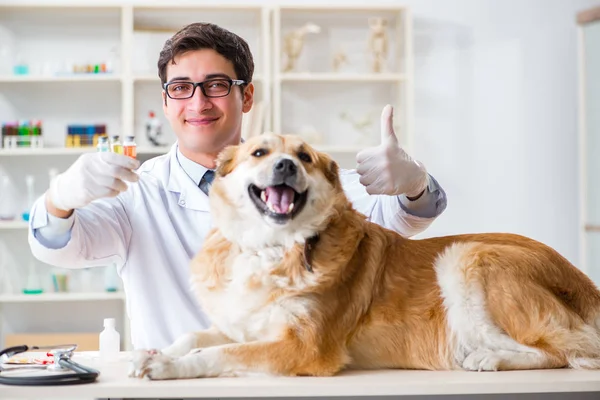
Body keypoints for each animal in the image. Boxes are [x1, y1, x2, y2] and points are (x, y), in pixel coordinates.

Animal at [130, 133, 600, 380]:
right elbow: (194, 336)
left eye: (304, 157)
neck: (274, 246)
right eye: (259, 153)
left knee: (566, 350)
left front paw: (169, 367)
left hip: (466, 257)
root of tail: (581, 280)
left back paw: (491, 358)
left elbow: (220, 354)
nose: (285, 166)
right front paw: (154, 353)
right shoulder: (243, 325)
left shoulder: (303, 348)